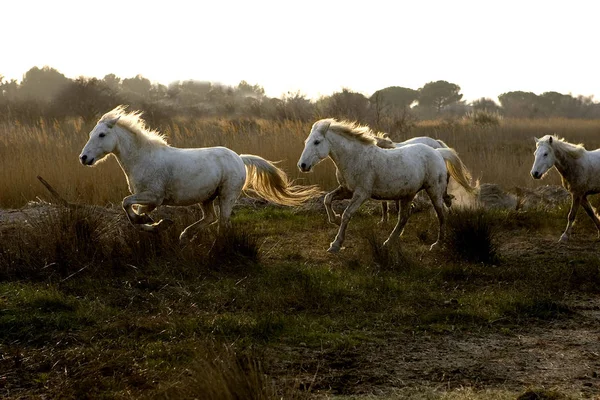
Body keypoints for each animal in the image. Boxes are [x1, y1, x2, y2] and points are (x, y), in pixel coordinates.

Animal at [82, 106, 324, 242]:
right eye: (91, 133)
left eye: (102, 135)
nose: (83, 158)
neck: (142, 158)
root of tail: (239, 157)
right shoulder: (148, 199)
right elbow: (137, 215)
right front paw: (156, 224)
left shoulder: (153, 196)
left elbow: (126, 204)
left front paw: (153, 222)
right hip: (206, 198)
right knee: (210, 218)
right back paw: (184, 236)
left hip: (226, 196)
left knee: (223, 223)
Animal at [296, 117, 474, 253]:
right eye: (306, 142)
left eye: (317, 142)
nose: (302, 165)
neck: (355, 157)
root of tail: (437, 152)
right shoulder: (347, 190)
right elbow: (327, 199)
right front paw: (335, 220)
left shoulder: (361, 194)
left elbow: (347, 214)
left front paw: (336, 244)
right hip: (408, 194)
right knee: (403, 218)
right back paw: (388, 243)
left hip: (434, 191)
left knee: (441, 215)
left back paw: (437, 244)